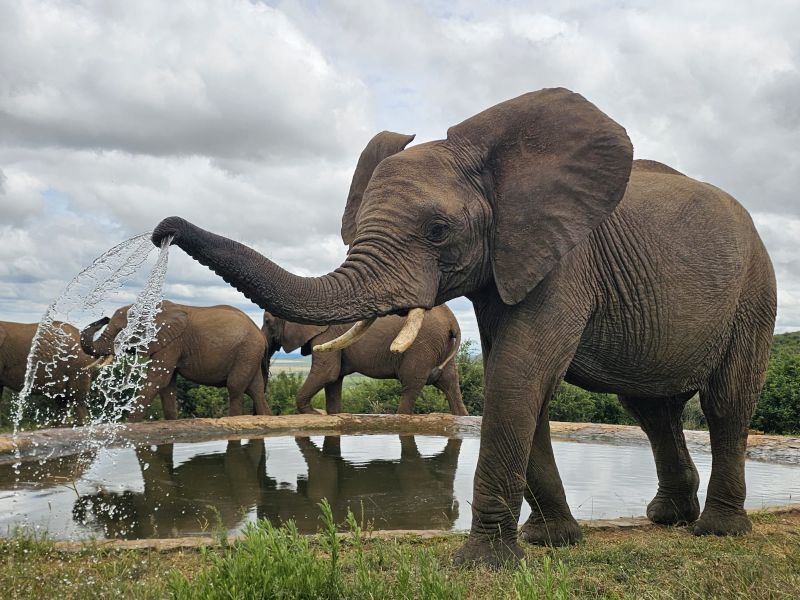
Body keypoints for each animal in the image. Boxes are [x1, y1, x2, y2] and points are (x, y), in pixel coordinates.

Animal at [79, 300, 271, 420]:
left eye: (122, 331)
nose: (103, 318)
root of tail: (261, 335)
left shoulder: (171, 343)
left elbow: (157, 380)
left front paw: (130, 425)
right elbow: (166, 385)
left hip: (247, 351)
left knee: (235, 387)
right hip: (250, 354)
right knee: (256, 390)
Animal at [262, 305, 468, 415]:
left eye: (267, 321)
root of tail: (453, 322)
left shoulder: (327, 334)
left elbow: (327, 373)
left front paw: (313, 413)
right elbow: (334, 380)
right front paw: (332, 415)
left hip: (421, 345)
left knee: (411, 384)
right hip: (442, 346)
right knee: (450, 383)